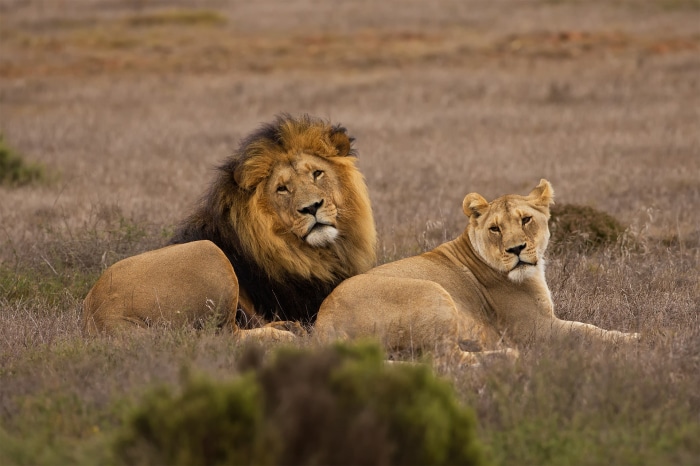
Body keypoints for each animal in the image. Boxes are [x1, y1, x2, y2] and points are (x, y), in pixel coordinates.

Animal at [83, 114, 376, 336]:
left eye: (317, 173)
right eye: (282, 188)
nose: (312, 207)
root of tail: (97, 311)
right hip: (207, 254)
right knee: (223, 335)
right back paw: (285, 334)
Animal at [314, 179, 639, 363]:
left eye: (526, 220)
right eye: (495, 228)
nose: (516, 249)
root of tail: (324, 324)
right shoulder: (533, 328)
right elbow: (587, 330)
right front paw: (634, 338)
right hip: (432, 292)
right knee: (447, 361)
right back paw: (505, 356)